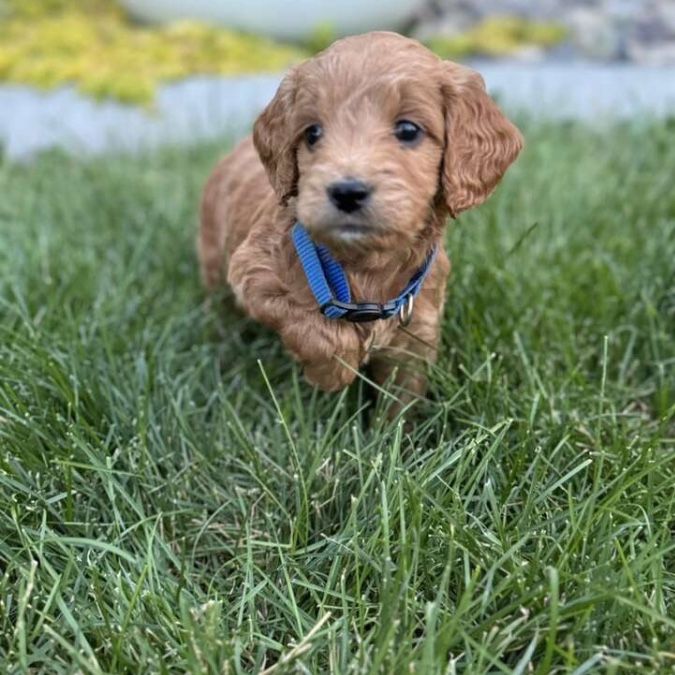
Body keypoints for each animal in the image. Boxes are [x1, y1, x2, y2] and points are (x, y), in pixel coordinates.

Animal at [198, 30, 524, 406]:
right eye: (312, 133)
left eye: (408, 130)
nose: (347, 192)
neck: (366, 269)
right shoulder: (253, 271)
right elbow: (316, 331)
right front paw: (334, 372)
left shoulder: (415, 336)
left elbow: (401, 401)